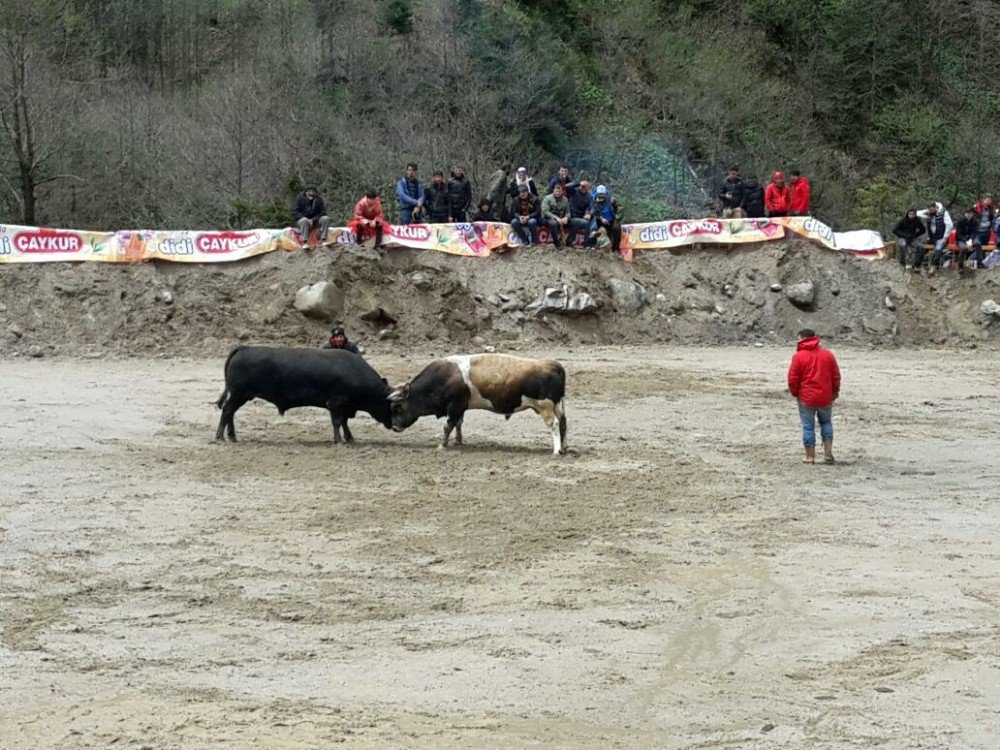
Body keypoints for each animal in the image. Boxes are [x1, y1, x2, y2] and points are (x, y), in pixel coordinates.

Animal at [386, 356, 568, 456]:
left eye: (397, 407)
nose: (394, 427)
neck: (444, 377)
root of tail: (551, 365)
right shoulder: (460, 408)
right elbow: (458, 424)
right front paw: (458, 441)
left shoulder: (454, 407)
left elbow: (448, 426)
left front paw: (442, 445)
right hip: (557, 406)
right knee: (563, 423)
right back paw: (564, 447)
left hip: (545, 407)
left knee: (554, 424)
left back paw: (556, 451)